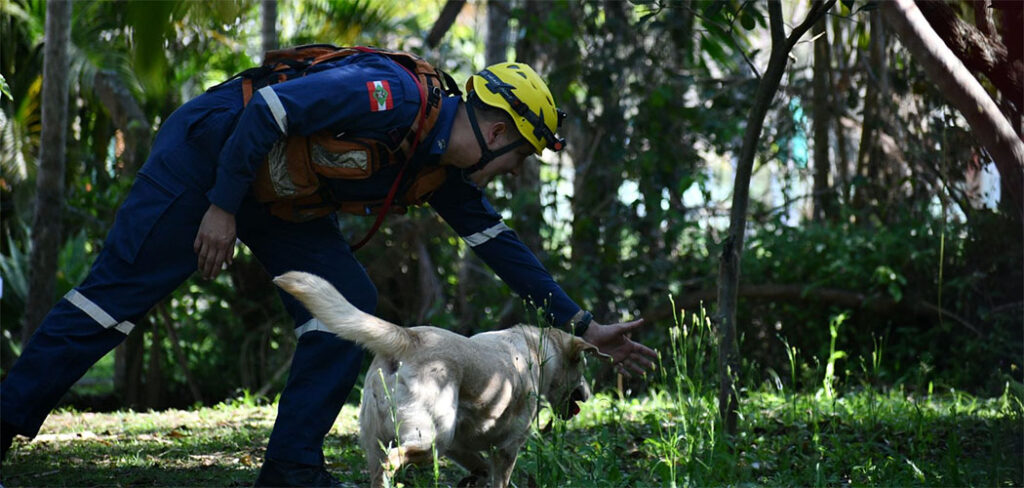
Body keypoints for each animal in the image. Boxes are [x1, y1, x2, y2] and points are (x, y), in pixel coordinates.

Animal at [274, 270, 606, 486]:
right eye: (584, 366)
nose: (589, 393)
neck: (540, 350)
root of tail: (409, 337)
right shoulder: (508, 448)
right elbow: (500, 478)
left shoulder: (461, 447)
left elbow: (481, 469)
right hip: (434, 437)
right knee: (392, 460)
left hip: (382, 438)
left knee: (378, 468)